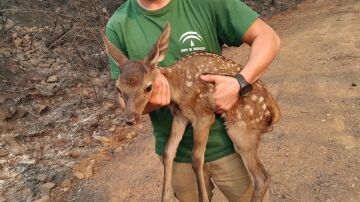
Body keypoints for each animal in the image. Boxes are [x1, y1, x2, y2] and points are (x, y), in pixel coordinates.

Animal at [101, 23, 282, 202]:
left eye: (148, 87)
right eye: (118, 88)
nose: (130, 119)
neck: (178, 90)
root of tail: (273, 109)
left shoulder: (204, 115)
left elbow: (196, 158)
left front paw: (203, 198)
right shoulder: (180, 116)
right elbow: (168, 152)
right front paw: (165, 196)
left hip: (241, 129)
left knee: (262, 177)